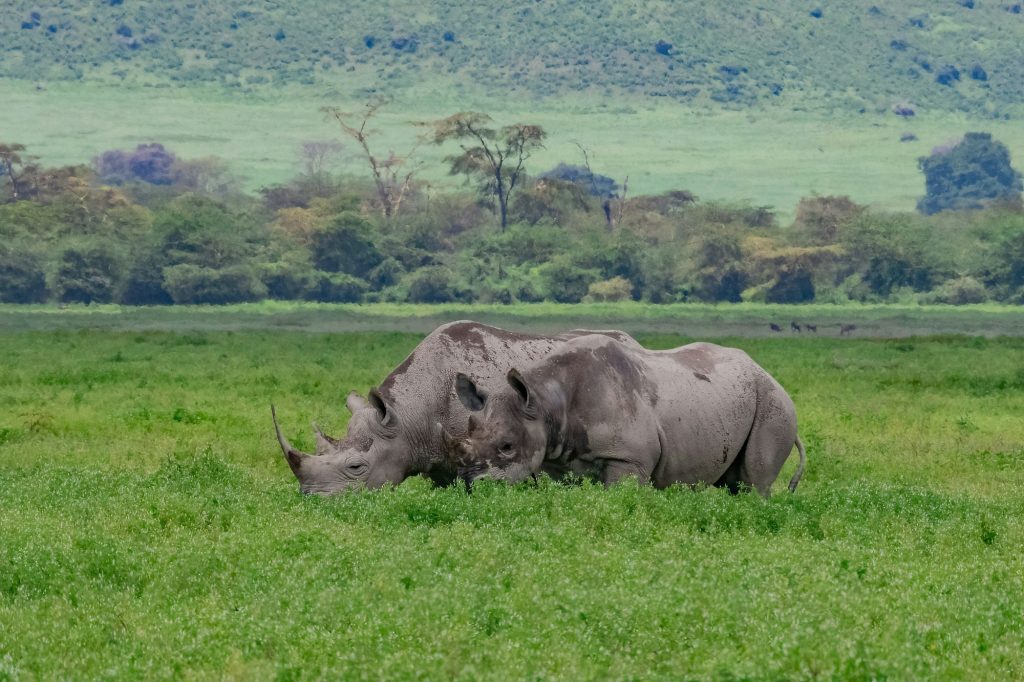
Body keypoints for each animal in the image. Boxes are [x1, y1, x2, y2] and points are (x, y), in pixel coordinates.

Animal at [446, 334, 806, 495]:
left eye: (507, 447)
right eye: (470, 429)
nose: (470, 485)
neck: (546, 402)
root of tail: (767, 373)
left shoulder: (629, 457)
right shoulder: (560, 462)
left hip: (773, 403)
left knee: (753, 481)